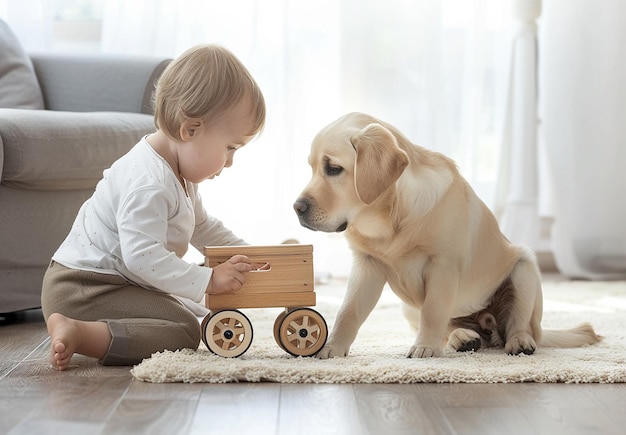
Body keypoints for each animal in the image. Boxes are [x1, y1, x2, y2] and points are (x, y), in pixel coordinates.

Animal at [294, 113, 600, 362]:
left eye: (333, 168)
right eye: (311, 167)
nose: (297, 208)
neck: (391, 220)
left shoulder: (443, 265)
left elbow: (433, 310)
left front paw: (424, 348)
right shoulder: (367, 265)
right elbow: (348, 311)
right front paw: (331, 348)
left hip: (524, 269)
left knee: (520, 324)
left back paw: (518, 341)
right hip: (407, 307)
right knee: (453, 328)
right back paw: (463, 337)